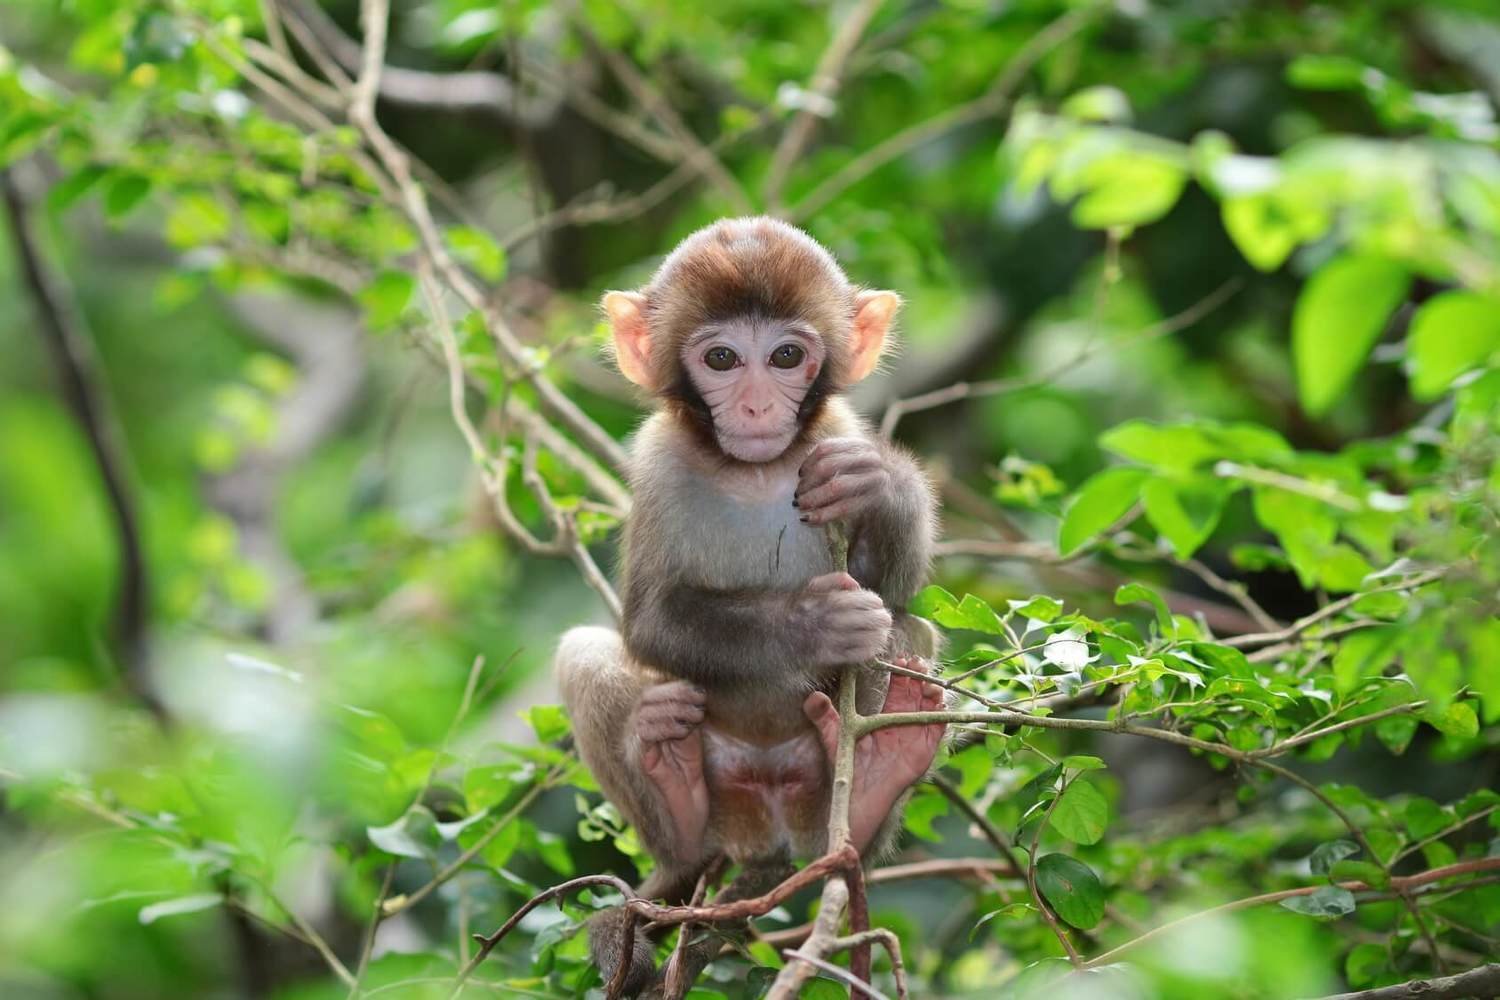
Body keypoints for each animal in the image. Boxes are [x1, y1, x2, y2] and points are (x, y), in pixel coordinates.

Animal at [554, 217, 945, 995]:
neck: (755, 470)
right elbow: (650, 621)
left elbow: (892, 591)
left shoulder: (836, 430)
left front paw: (881, 484)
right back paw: (675, 791)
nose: (759, 407)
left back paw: (878, 777)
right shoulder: (658, 461)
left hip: (817, 788)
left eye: (787, 355)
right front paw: (814, 623)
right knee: (586, 656)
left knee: (908, 635)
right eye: (723, 358)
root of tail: (766, 817)